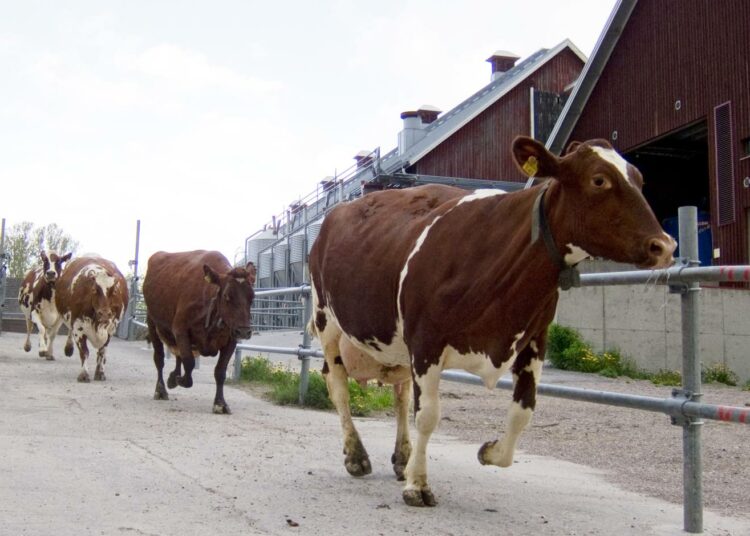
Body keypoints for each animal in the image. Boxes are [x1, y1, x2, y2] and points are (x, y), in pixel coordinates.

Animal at [142, 251, 258, 414]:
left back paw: (174, 376)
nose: (244, 331)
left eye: (252, 297)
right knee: (159, 359)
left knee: (178, 355)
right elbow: (189, 363)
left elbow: (220, 371)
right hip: (152, 323)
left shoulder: (231, 340)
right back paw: (161, 390)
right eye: (227, 296)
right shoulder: (180, 330)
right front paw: (178, 380)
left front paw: (220, 403)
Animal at [308, 135, 680, 506]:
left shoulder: (534, 337)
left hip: (394, 347)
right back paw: (357, 456)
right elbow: (427, 415)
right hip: (327, 320)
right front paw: (418, 486)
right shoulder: (425, 341)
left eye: (640, 179)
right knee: (338, 385)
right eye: (599, 180)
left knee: (398, 396)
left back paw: (402, 458)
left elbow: (523, 411)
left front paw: (488, 452)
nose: (664, 245)